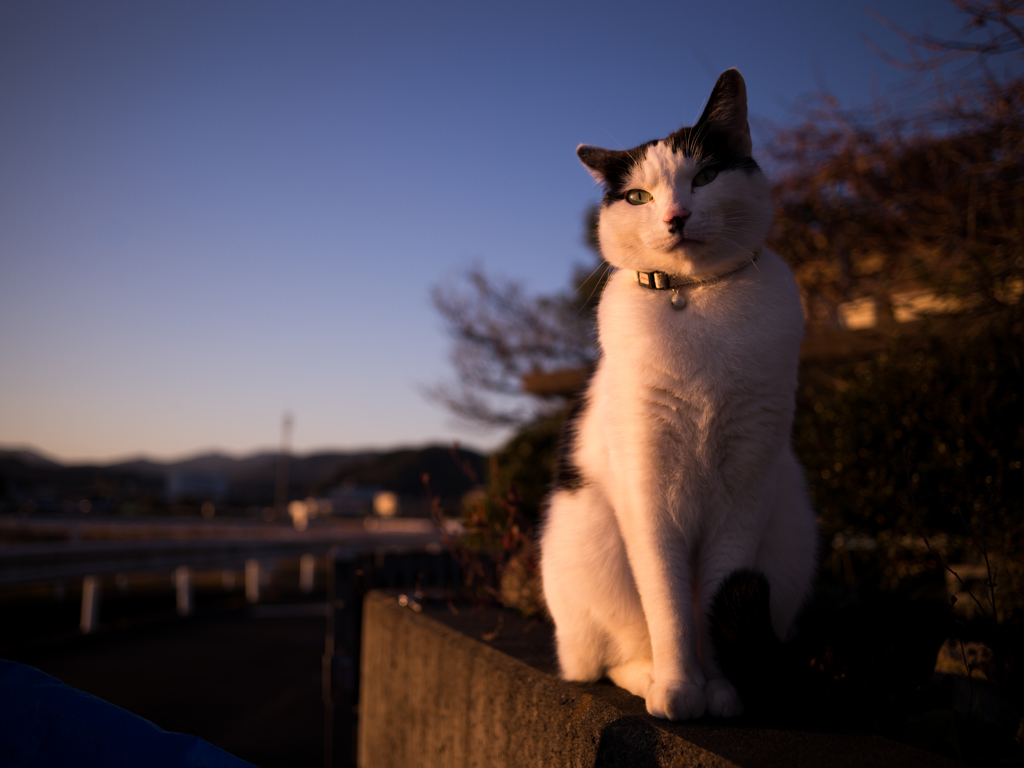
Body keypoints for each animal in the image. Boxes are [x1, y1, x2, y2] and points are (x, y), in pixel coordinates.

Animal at [540, 67, 819, 720]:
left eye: (706, 177)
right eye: (638, 197)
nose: (676, 216)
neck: (695, 299)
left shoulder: (746, 483)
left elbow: (717, 593)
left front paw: (720, 691)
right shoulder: (647, 489)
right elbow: (667, 603)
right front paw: (677, 688)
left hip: (790, 533)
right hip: (589, 543)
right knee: (605, 658)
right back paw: (646, 678)